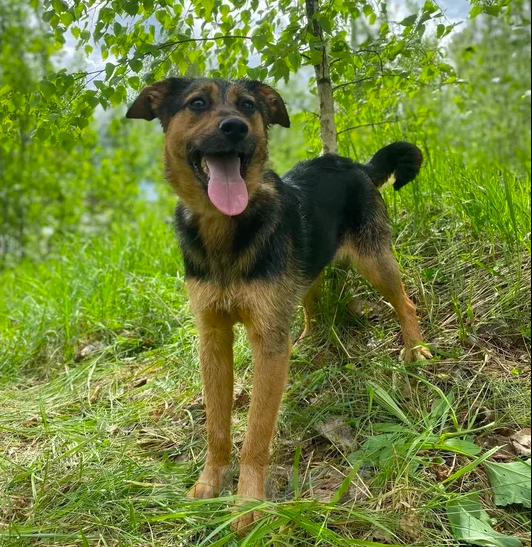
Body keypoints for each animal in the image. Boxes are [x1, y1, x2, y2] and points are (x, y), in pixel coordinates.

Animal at [128, 78, 432, 536]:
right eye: (197, 103)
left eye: (248, 106)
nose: (235, 128)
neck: (224, 231)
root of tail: (358, 166)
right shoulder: (212, 337)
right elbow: (217, 425)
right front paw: (210, 483)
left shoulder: (265, 342)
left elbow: (256, 432)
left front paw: (248, 503)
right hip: (307, 268)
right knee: (311, 299)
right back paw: (305, 339)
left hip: (376, 261)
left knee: (405, 303)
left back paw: (415, 348)